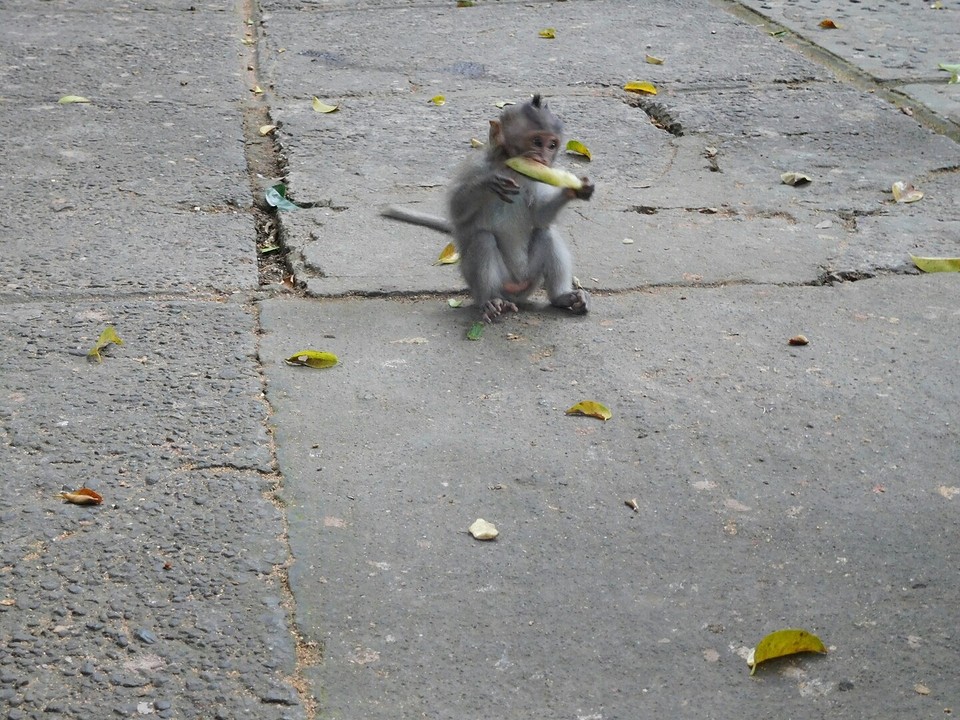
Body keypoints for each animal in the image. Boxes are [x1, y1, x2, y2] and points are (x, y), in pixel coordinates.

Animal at [382, 94, 594, 322]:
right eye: (537, 142)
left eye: (552, 145)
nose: (543, 158)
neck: (511, 169)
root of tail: (515, 292)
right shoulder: (477, 166)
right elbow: (457, 211)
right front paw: (488, 183)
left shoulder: (537, 178)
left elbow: (540, 217)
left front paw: (575, 189)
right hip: (489, 282)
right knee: (483, 240)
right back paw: (490, 301)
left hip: (530, 279)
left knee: (546, 233)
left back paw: (562, 297)